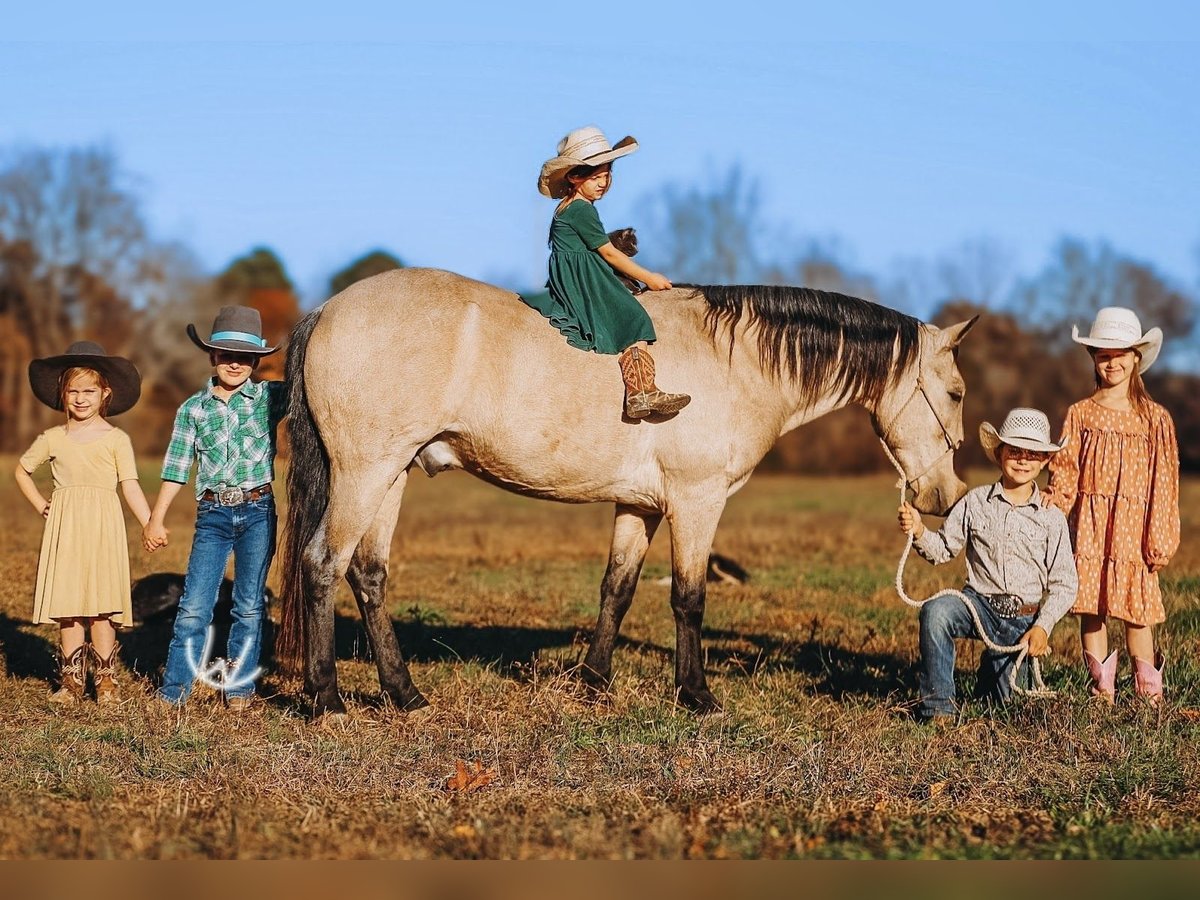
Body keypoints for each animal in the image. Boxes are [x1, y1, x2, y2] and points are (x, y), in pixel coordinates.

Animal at [276, 268, 977, 717]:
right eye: (955, 393)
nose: (946, 493)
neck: (734, 360)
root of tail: (327, 310)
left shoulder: (640, 507)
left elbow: (617, 588)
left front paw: (594, 683)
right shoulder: (697, 503)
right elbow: (689, 599)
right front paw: (697, 695)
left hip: (390, 475)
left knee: (368, 574)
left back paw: (405, 694)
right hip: (365, 473)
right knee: (323, 564)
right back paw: (327, 698)